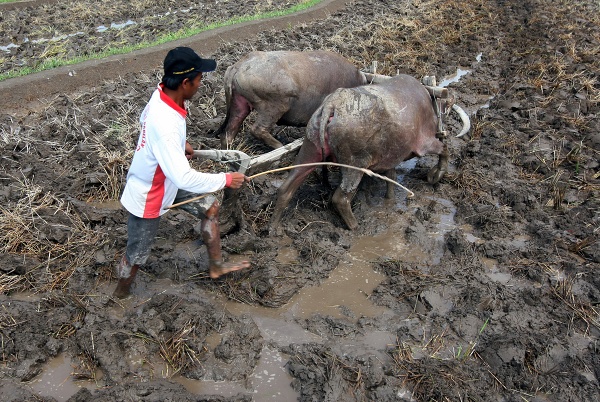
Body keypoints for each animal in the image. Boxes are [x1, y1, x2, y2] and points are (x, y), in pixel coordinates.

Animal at [213, 50, 368, 150]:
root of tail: (238, 66)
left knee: (228, 132)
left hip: (239, 105)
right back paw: (280, 146)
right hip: (274, 106)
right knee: (257, 129)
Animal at [268, 72, 454, 229]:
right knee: (341, 198)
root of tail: (332, 105)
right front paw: (436, 175)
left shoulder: (392, 156)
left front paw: (390, 200)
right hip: (354, 164)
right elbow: (444, 150)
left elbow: (391, 178)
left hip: (310, 149)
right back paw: (355, 227)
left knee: (286, 188)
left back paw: (273, 229)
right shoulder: (425, 143)